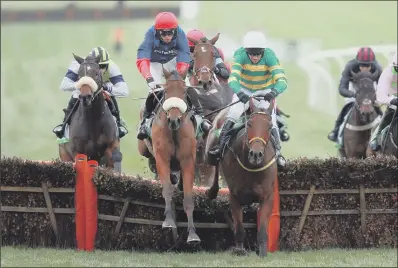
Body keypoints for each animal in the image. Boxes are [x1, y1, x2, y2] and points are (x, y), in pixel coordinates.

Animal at [137, 68, 201, 244]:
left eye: (184, 92)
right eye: (166, 92)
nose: (174, 120)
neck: (173, 131)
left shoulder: (188, 161)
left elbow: (188, 198)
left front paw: (192, 234)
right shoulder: (162, 158)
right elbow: (166, 190)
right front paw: (169, 221)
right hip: (143, 149)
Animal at [205, 96, 276, 258]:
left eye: (269, 127)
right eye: (249, 124)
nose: (256, 155)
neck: (252, 168)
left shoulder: (267, 197)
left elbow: (262, 231)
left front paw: (262, 253)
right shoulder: (235, 196)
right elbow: (239, 229)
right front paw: (239, 250)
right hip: (210, 149)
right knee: (214, 163)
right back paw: (212, 190)